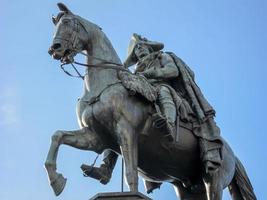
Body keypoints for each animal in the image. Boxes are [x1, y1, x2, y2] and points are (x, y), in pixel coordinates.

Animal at [44, 3, 258, 200]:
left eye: (67, 22)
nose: (55, 49)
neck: (103, 85)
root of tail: (233, 155)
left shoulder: (127, 130)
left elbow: (130, 172)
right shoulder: (96, 137)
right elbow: (58, 136)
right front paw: (56, 181)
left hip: (213, 178)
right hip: (187, 186)